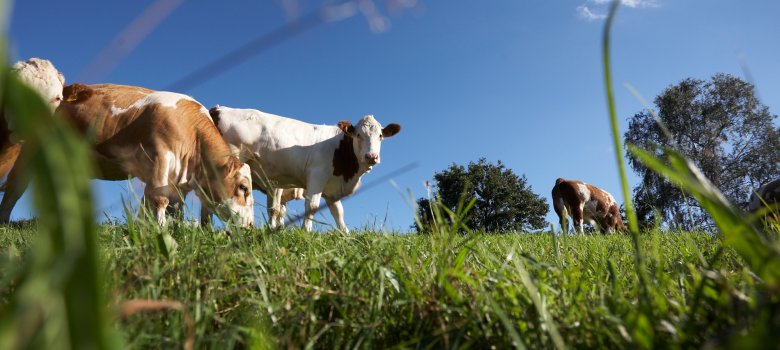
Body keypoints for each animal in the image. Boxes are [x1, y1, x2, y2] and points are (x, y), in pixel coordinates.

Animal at [0, 84, 254, 227]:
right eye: (243, 188)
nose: (250, 225)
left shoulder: (175, 178)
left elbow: (167, 206)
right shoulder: (161, 157)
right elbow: (159, 200)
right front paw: (160, 230)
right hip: (31, 150)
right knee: (15, 186)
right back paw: (4, 222)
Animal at [207, 106, 402, 232]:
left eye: (381, 136)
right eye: (359, 135)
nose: (371, 156)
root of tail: (218, 108)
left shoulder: (331, 189)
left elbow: (338, 212)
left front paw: (346, 236)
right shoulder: (317, 175)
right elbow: (312, 206)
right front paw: (305, 232)